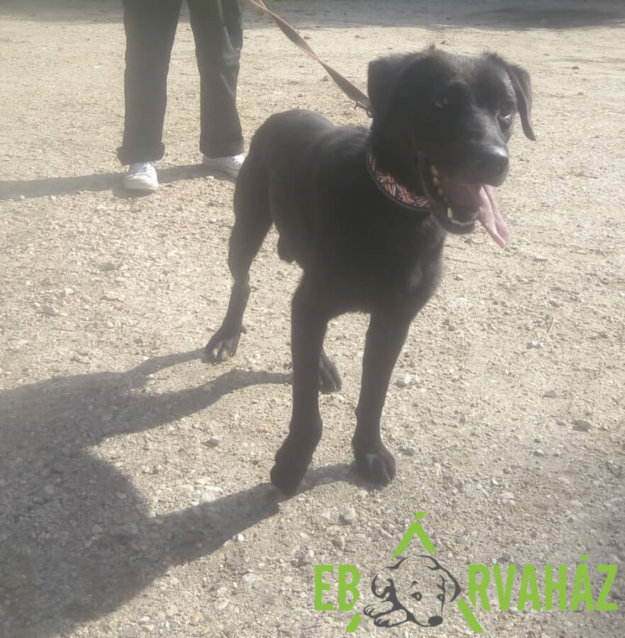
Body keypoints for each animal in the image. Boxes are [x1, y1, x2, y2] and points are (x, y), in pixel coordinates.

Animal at [205, 46, 534, 496]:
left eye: (506, 110)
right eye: (441, 102)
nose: (493, 162)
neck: (394, 210)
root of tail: (282, 116)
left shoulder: (393, 321)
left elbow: (374, 395)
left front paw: (369, 452)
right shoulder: (315, 302)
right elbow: (305, 406)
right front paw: (293, 462)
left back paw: (322, 365)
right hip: (247, 231)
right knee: (243, 285)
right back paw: (226, 336)